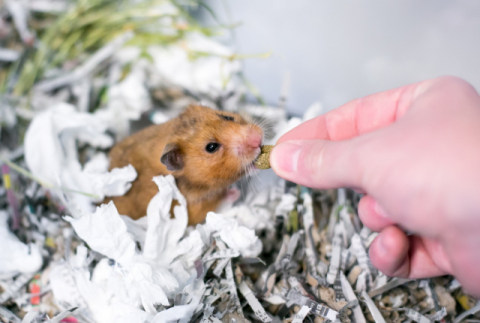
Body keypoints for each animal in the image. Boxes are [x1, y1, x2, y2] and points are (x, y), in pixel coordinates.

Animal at [105, 105, 264, 225]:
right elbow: (219, 199)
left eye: (227, 117)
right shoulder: (197, 208)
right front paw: (235, 192)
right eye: (211, 147)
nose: (257, 139)